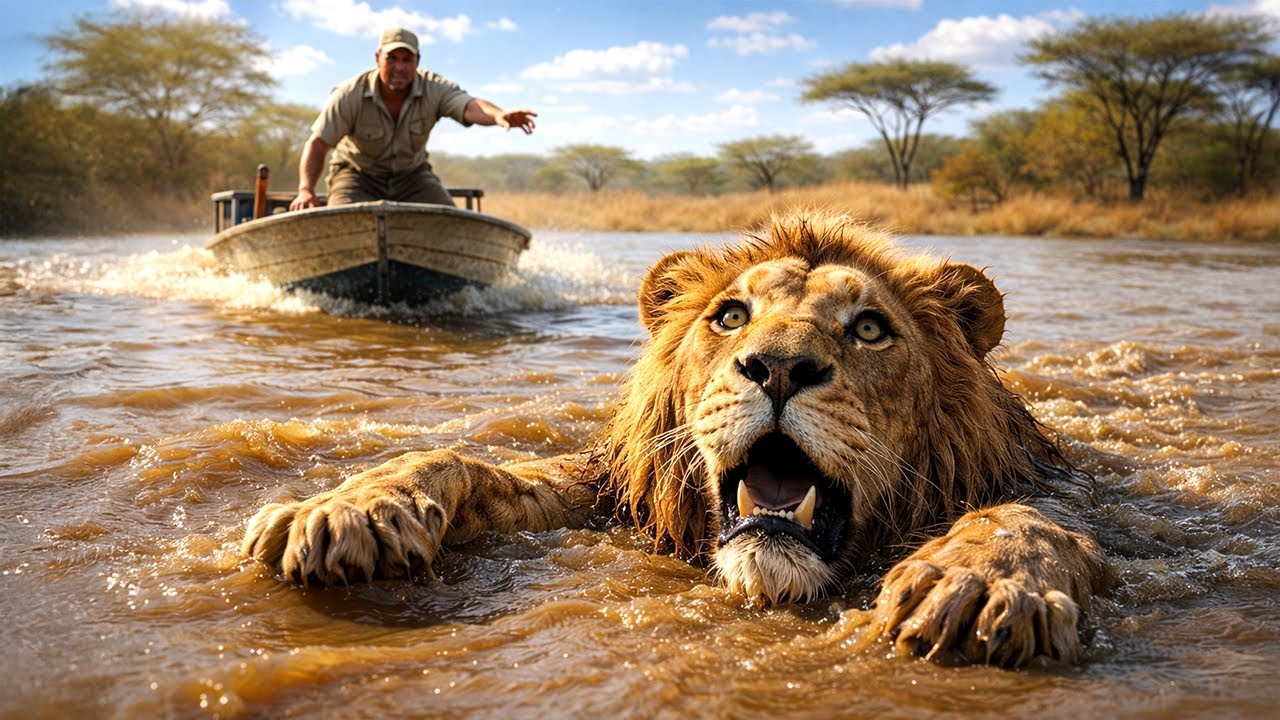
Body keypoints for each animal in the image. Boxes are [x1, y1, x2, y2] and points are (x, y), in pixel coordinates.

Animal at [242, 211, 1114, 668]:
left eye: (869, 328)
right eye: (731, 316)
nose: (779, 367)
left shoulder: (1044, 486)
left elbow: (1026, 519)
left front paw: (980, 586)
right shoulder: (607, 492)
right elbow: (461, 459)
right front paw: (346, 509)